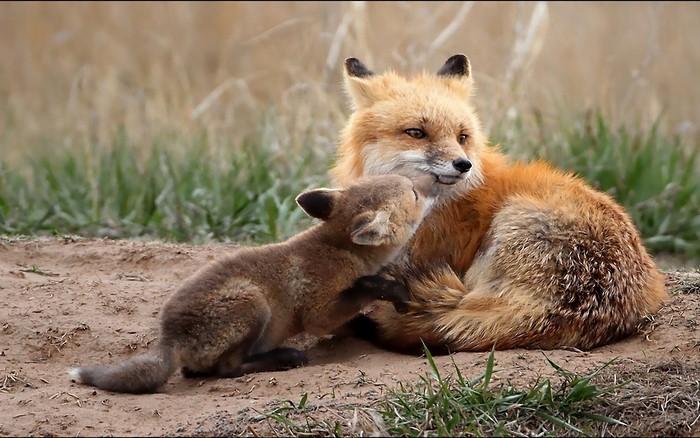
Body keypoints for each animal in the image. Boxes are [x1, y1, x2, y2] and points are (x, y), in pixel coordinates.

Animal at [68, 174, 437, 393]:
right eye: (414, 193)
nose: (436, 177)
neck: (340, 249)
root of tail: (169, 338)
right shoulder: (318, 311)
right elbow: (364, 288)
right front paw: (393, 292)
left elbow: (357, 317)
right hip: (253, 304)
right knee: (227, 369)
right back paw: (284, 357)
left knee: (194, 372)